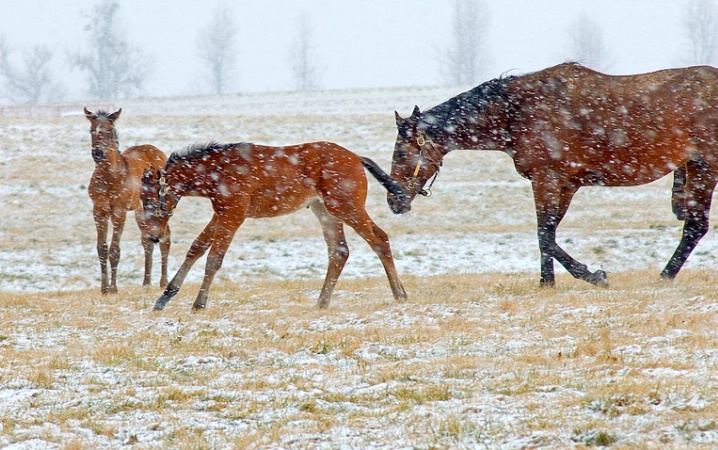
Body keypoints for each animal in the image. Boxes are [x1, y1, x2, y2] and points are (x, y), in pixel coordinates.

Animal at [84, 107, 172, 294]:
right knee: (147, 240)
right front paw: (104, 289)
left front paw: (114, 289)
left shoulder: (119, 211)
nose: (97, 153)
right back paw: (146, 283)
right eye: (91, 130)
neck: (109, 178)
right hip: (141, 210)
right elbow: (101, 248)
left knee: (165, 236)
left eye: (109, 131)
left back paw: (163, 282)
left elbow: (114, 250)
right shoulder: (98, 211)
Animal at [142, 141, 410, 310]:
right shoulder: (220, 213)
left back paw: (400, 293)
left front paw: (199, 303)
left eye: (151, 197)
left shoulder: (233, 214)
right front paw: (164, 298)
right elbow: (196, 248)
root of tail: (356, 157)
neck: (216, 172)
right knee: (339, 251)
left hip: (346, 207)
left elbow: (214, 258)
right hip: (324, 210)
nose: (154, 234)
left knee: (379, 238)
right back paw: (322, 302)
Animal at [390, 62, 718, 288]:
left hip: (705, 168)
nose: (394, 201)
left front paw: (572, 277)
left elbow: (544, 234)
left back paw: (664, 276)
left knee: (695, 227)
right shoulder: (566, 184)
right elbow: (549, 233)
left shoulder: (546, 179)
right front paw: (569, 277)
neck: (518, 112)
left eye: (402, 155)